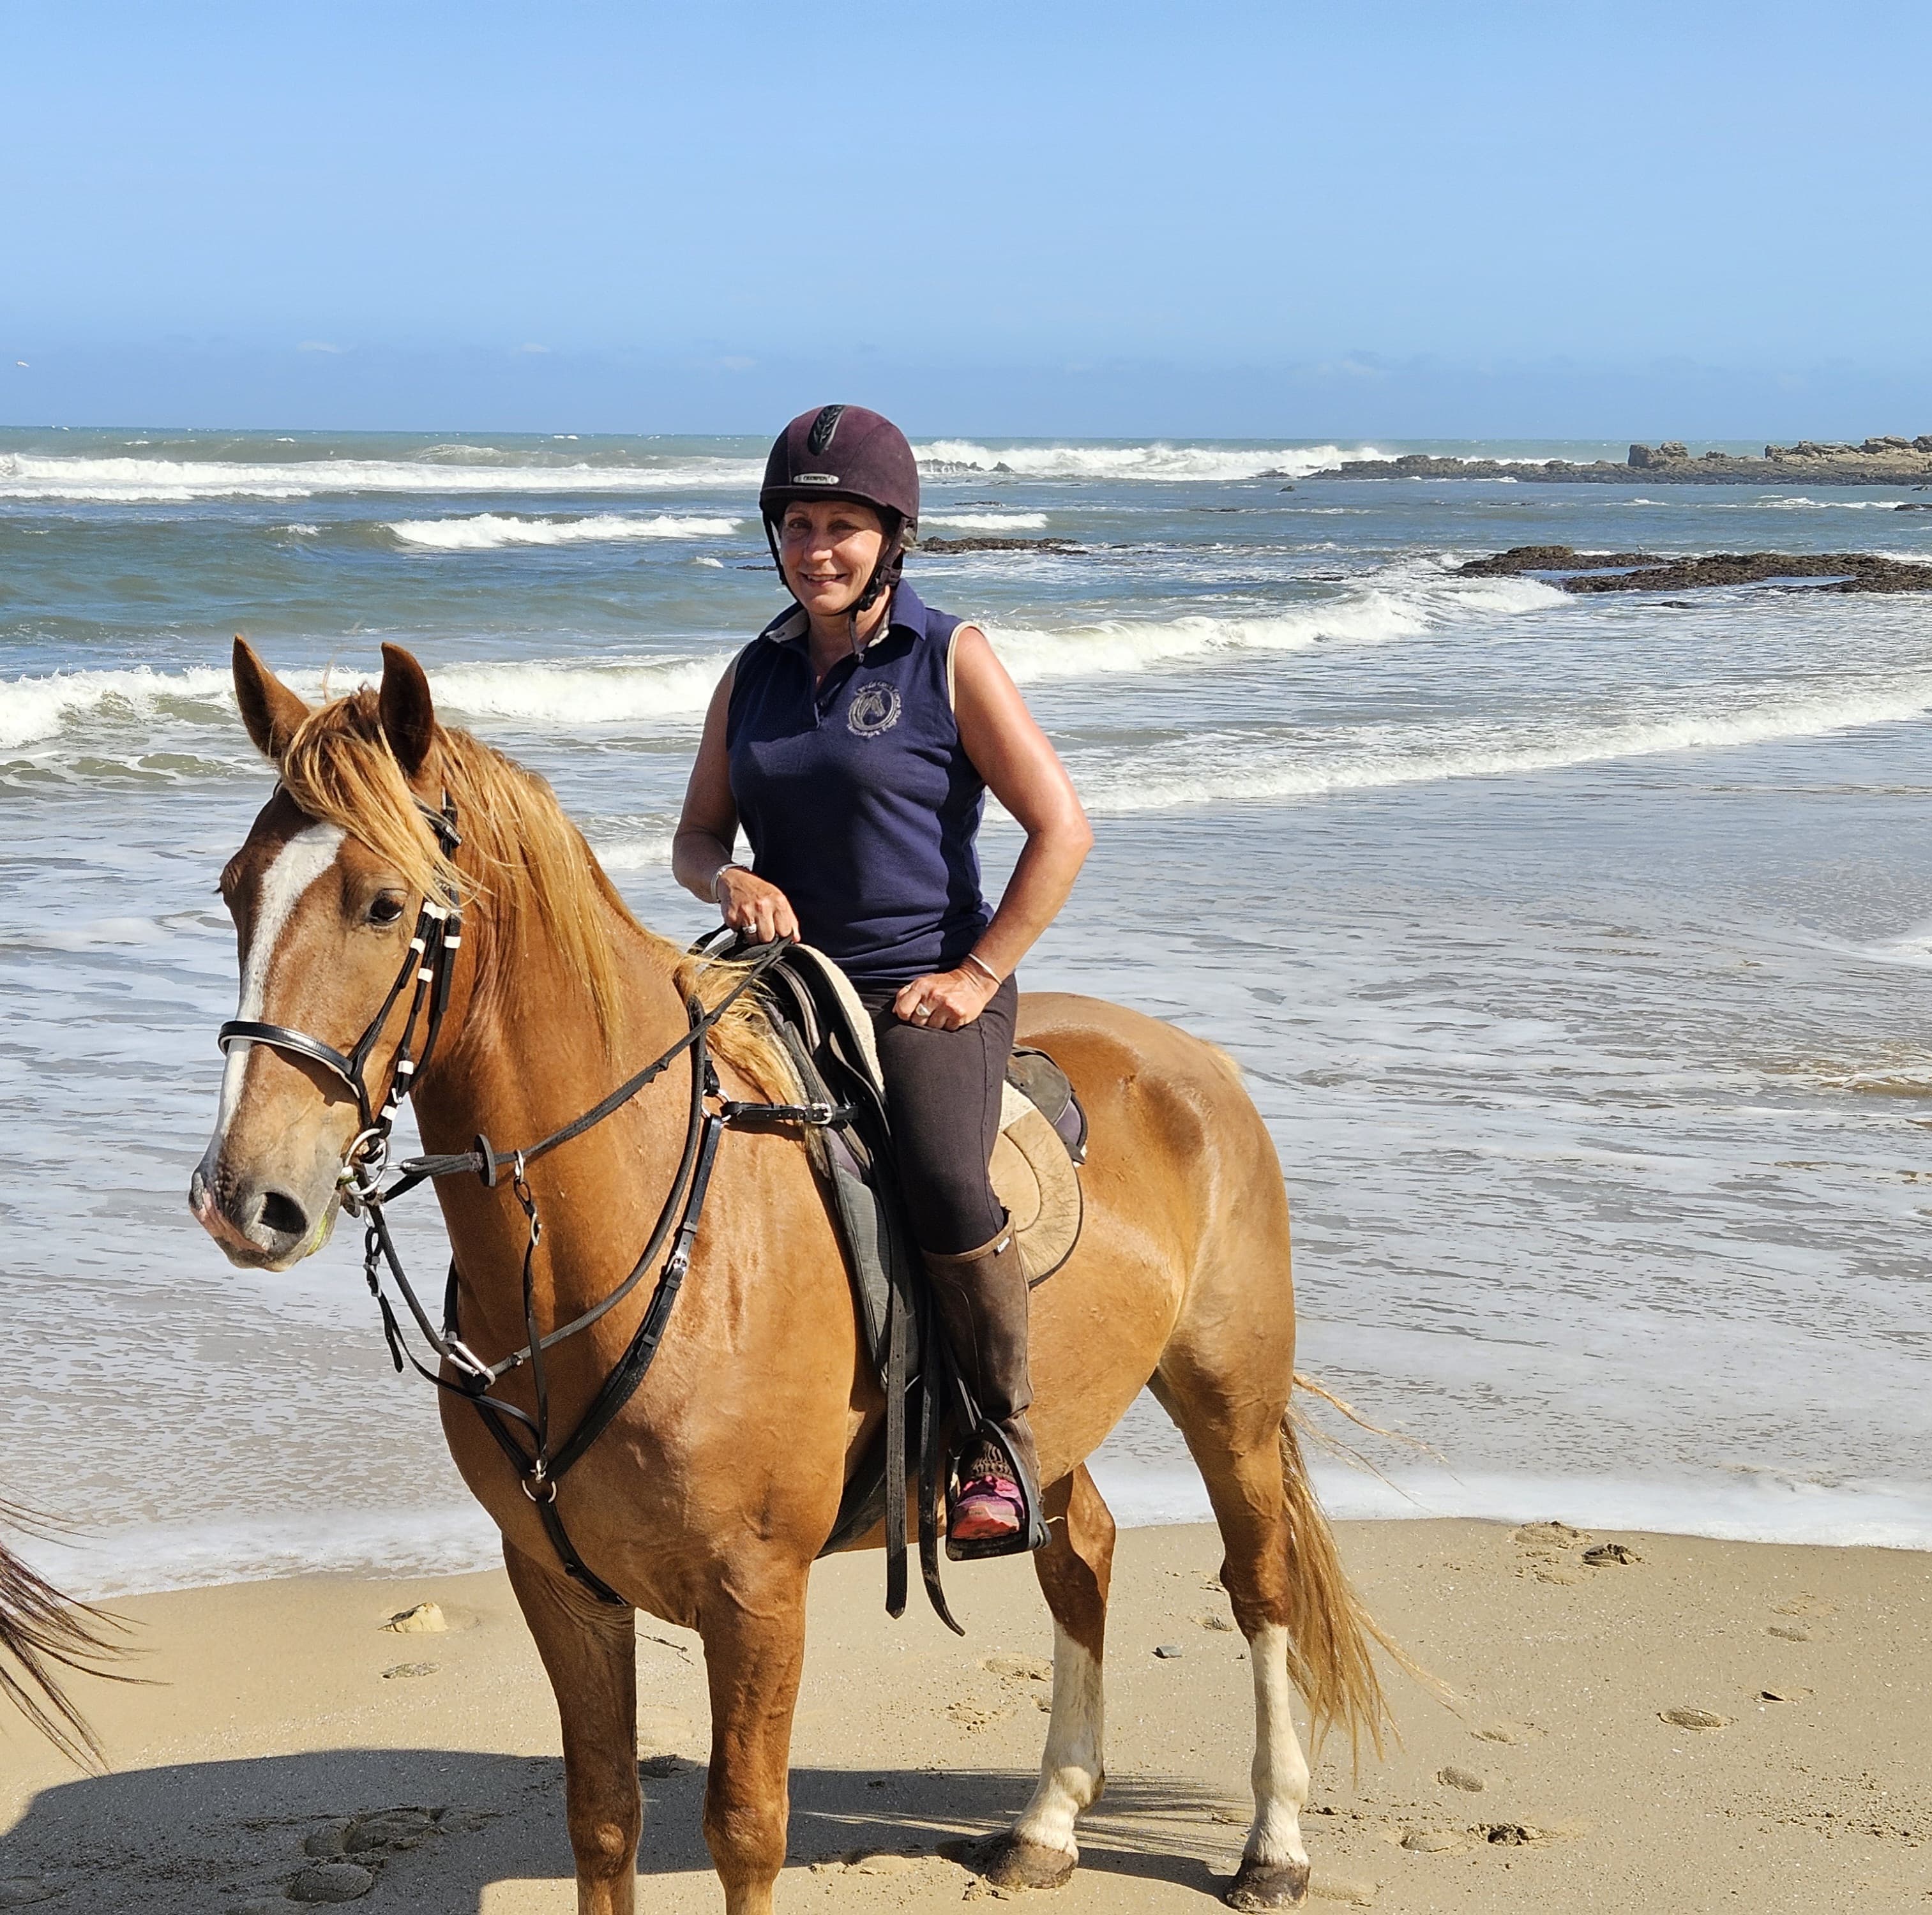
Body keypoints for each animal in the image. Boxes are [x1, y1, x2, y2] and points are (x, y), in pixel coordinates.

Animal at [190, 638, 1396, 1915]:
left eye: (382, 904)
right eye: (235, 890)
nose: (242, 1198)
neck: (630, 1240)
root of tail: (1194, 1059)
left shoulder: (758, 1594)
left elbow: (746, 1829)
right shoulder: (558, 1584)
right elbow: (604, 1818)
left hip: (1229, 1402)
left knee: (1258, 1587)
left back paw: (1274, 1844)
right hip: (1050, 1423)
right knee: (1084, 1559)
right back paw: (1049, 1822)